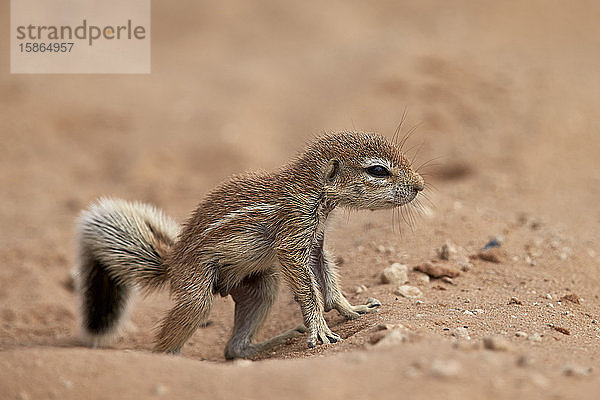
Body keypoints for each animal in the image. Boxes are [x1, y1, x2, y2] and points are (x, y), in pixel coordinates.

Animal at [75, 131, 424, 360]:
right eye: (377, 170)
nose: (419, 185)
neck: (311, 192)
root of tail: (171, 264)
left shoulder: (315, 243)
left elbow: (328, 278)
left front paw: (352, 309)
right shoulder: (293, 235)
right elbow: (309, 290)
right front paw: (319, 329)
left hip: (261, 287)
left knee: (234, 349)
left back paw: (274, 342)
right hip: (197, 291)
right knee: (174, 336)